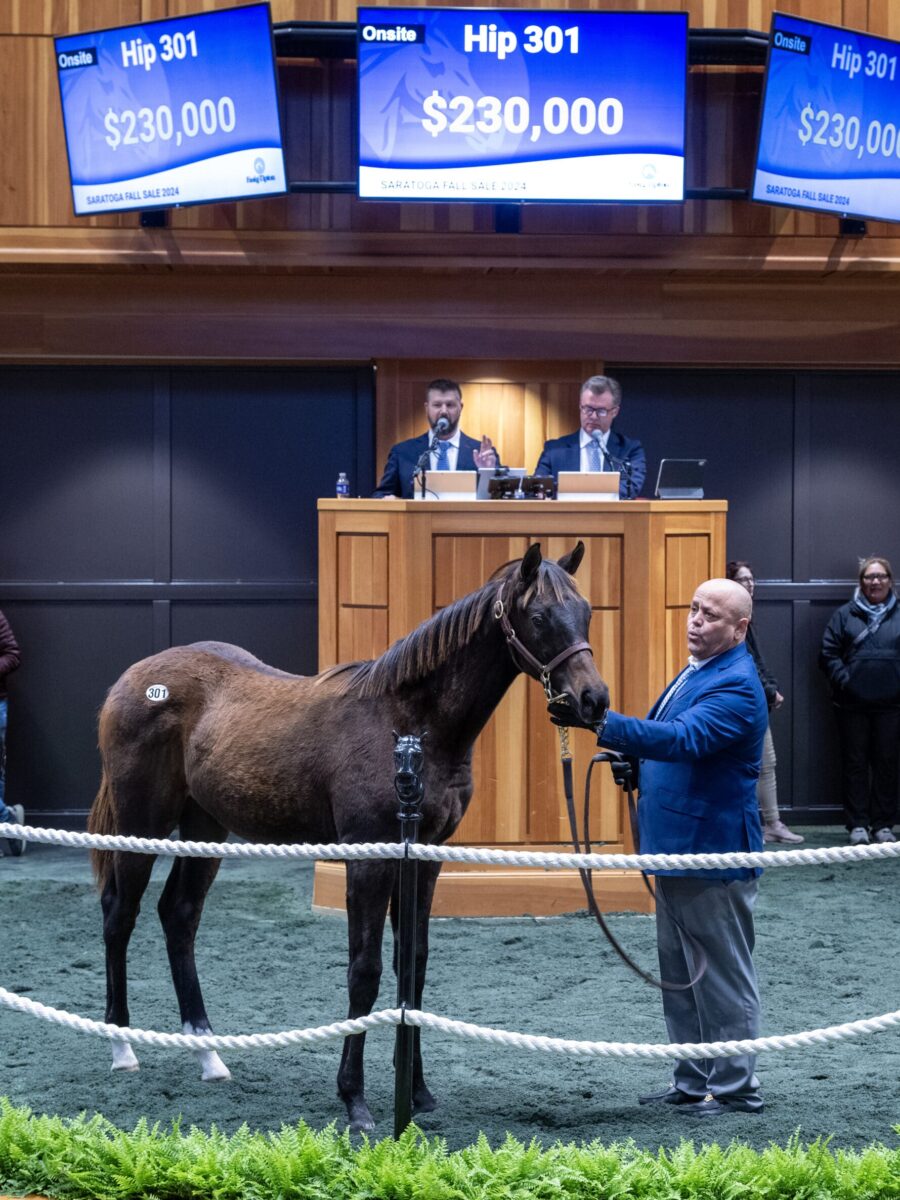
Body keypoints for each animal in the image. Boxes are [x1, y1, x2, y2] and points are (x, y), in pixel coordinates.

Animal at [88, 544, 609, 1132]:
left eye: (586, 612)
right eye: (540, 617)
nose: (593, 700)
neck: (410, 725)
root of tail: (132, 679)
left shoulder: (424, 858)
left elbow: (413, 965)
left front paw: (418, 1092)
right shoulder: (368, 858)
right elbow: (366, 970)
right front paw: (354, 1100)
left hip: (205, 829)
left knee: (178, 915)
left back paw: (209, 1054)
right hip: (142, 824)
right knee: (119, 914)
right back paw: (122, 1047)